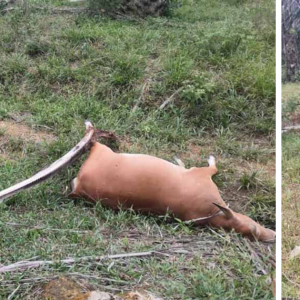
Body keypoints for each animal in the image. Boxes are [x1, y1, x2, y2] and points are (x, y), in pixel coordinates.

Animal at [0, 120, 274, 240]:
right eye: (252, 228)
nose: (270, 235)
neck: (211, 214)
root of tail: (78, 189)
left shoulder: (201, 176)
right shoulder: (202, 175)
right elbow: (212, 165)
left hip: (101, 152)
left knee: (93, 138)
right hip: (102, 152)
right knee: (93, 138)